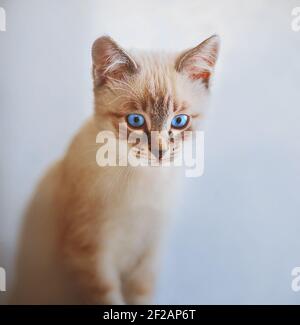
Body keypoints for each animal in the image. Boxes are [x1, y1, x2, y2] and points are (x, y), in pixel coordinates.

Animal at [11, 35, 218, 304]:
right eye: (136, 121)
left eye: (179, 121)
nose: (160, 152)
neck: (142, 178)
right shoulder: (89, 253)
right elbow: (108, 296)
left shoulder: (150, 252)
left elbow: (141, 294)